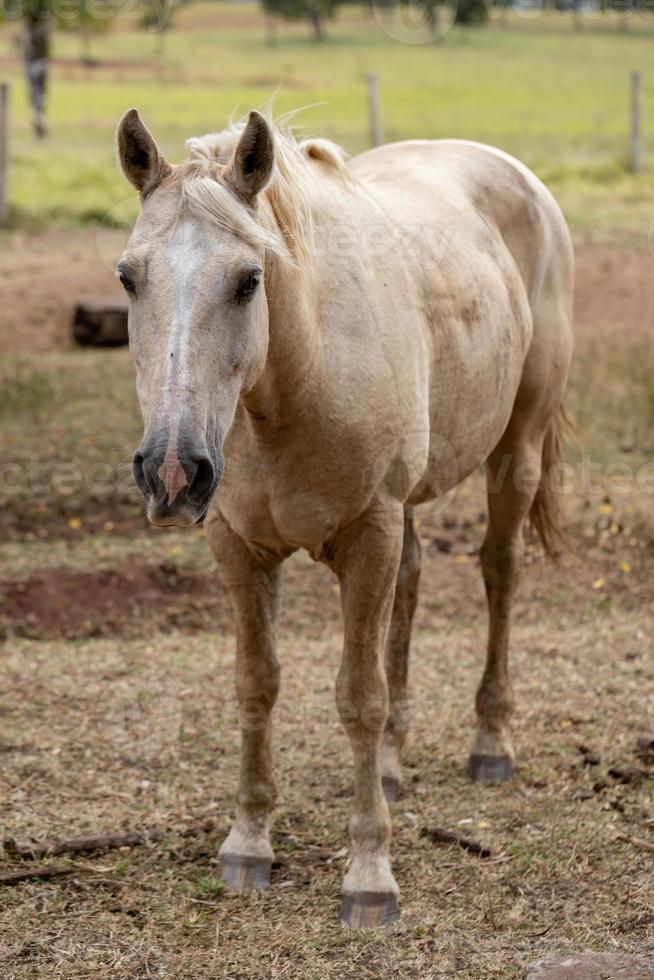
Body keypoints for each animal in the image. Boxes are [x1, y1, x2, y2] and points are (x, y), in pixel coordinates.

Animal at [116, 109, 576, 928]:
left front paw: (369, 875)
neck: (292, 383)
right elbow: (256, 684)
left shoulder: (369, 535)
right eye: (128, 277)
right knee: (414, 588)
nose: (172, 471)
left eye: (249, 280)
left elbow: (359, 697)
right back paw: (391, 765)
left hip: (515, 453)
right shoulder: (239, 548)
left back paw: (491, 742)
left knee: (500, 572)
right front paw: (248, 842)